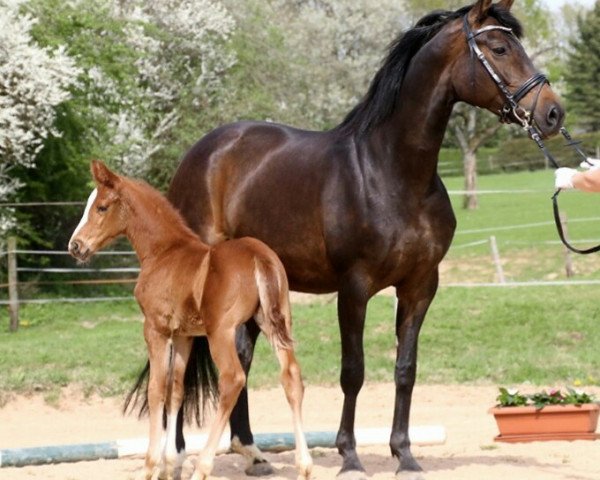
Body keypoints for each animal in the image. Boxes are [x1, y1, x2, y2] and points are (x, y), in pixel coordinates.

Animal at [69, 162, 314, 480]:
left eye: (101, 207)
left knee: (232, 379)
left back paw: (203, 468)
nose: (75, 246)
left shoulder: (156, 329)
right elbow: (176, 390)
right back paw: (305, 465)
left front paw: (151, 466)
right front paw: (169, 464)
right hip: (275, 322)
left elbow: (156, 390)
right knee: (291, 376)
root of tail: (260, 257)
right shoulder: (183, 334)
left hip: (221, 333)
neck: (164, 252)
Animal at [139, 0, 564, 480]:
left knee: (239, 358)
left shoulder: (420, 287)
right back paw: (176, 457)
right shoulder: (354, 288)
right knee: (186, 358)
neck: (393, 173)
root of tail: (203, 152)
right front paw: (350, 456)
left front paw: (405, 455)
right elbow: (353, 371)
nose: (553, 113)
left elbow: (405, 369)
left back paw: (252, 453)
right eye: (499, 48)